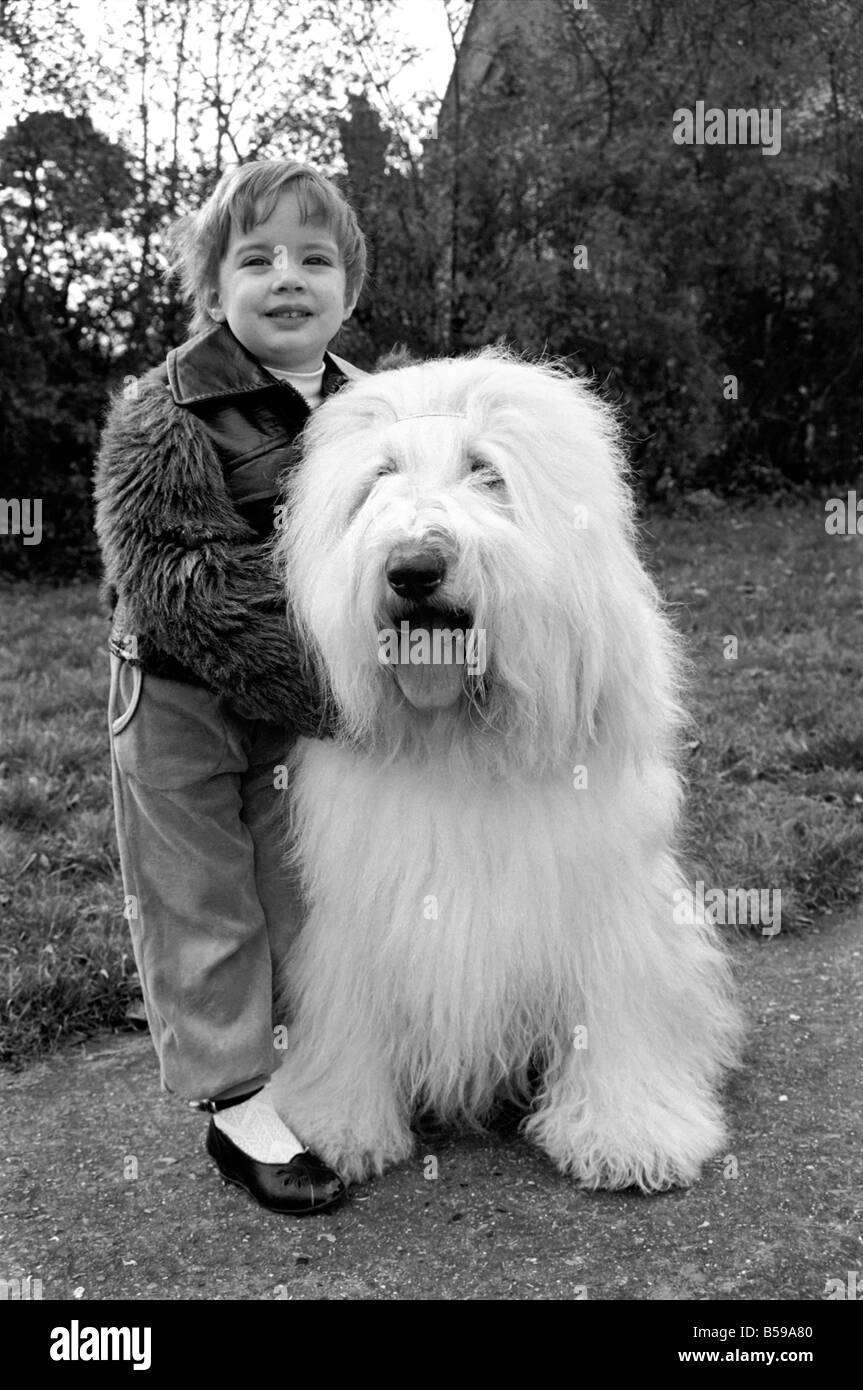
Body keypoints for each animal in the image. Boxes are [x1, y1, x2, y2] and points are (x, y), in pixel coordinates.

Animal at [273, 350, 739, 1195]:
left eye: (485, 471)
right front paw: (337, 1123)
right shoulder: (361, 913)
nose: (412, 567)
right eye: (379, 476)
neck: (461, 739)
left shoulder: (603, 911)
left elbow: (612, 1014)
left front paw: (628, 1134)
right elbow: (352, 1012)